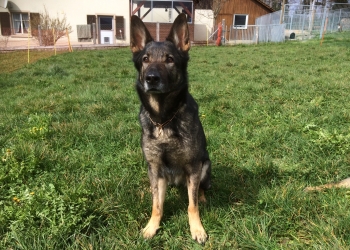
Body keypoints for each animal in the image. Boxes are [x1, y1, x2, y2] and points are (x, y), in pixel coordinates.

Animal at [129, 13, 209, 242]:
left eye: (170, 59)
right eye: (145, 59)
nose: (151, 78)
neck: (164, 119)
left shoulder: (194, 166)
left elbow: (192, 205)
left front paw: (197, 229)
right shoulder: (155, 169)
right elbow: (157, 205)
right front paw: (152, 226)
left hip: (205, 165)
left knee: (200, 189)